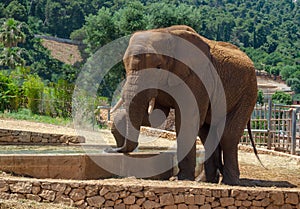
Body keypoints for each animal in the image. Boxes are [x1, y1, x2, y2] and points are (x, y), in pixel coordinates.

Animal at [106, 25, 258, 185]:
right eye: (125, 65)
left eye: (158, 67)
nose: (115, 149)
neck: (167, 31)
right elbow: (157, 117)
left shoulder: (196, 78)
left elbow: (186, 120)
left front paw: (181, 178)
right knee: (207, 134)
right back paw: (206, 180)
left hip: (248, 93)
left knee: (228, 135)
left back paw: (229, 181)